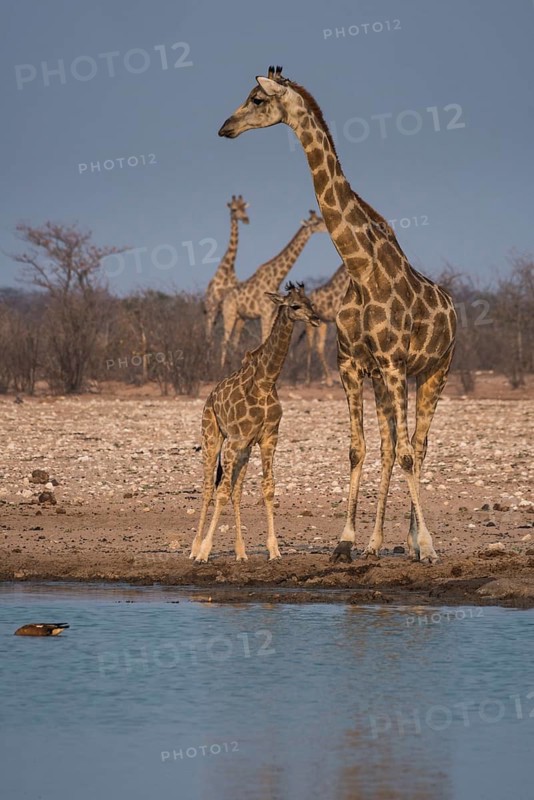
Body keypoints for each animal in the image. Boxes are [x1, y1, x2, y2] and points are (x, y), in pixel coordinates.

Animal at [190, 282, 320, 562]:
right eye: (295, 305)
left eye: (311, 303)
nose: (315, 319)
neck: (265, 382)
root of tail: (210, 396)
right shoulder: (234, 441)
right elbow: (221, 492)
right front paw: (204, 551)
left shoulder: (268, 438)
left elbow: (267, 488)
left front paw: (274, 550)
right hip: (212, 438)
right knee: (208, 488)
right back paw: (194, 548)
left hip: (244, 451)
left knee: (236, 492)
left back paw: (241, 552)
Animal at [204, 195, 249, 340]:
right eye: (234, 209)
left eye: (244, 208)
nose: (246, 219)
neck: (228, 269)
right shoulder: (216, 305)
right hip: (211, 309)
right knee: (208, 331)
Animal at [219, 210, 326, 366]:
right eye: (317, 222)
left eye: (312, 304)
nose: (316, 319)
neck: (276, 277)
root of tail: (225, 298)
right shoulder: (264, 313)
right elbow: (264, 337)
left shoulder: (270, 313)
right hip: (229, 314)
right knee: (224, 341)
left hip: (241, 318)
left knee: (234, 342)